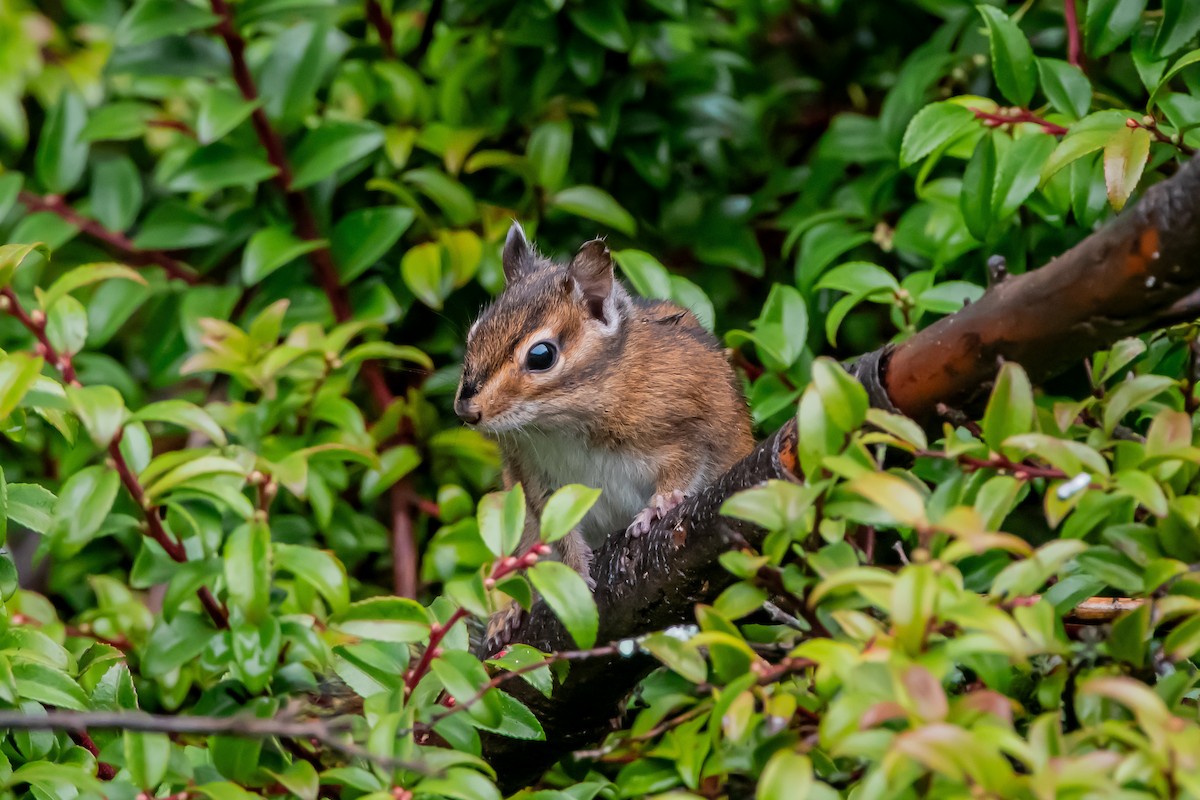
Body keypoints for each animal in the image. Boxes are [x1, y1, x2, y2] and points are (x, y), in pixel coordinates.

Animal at [454, 222, 755, 647]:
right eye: (474, 334)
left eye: (541, 356)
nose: (466, 410)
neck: (562, 424)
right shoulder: (534, 476)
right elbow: (559, 530)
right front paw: (574, 574)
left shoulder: (691, 424)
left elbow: (684, 467)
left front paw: (658, 507)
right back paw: (508, 611)